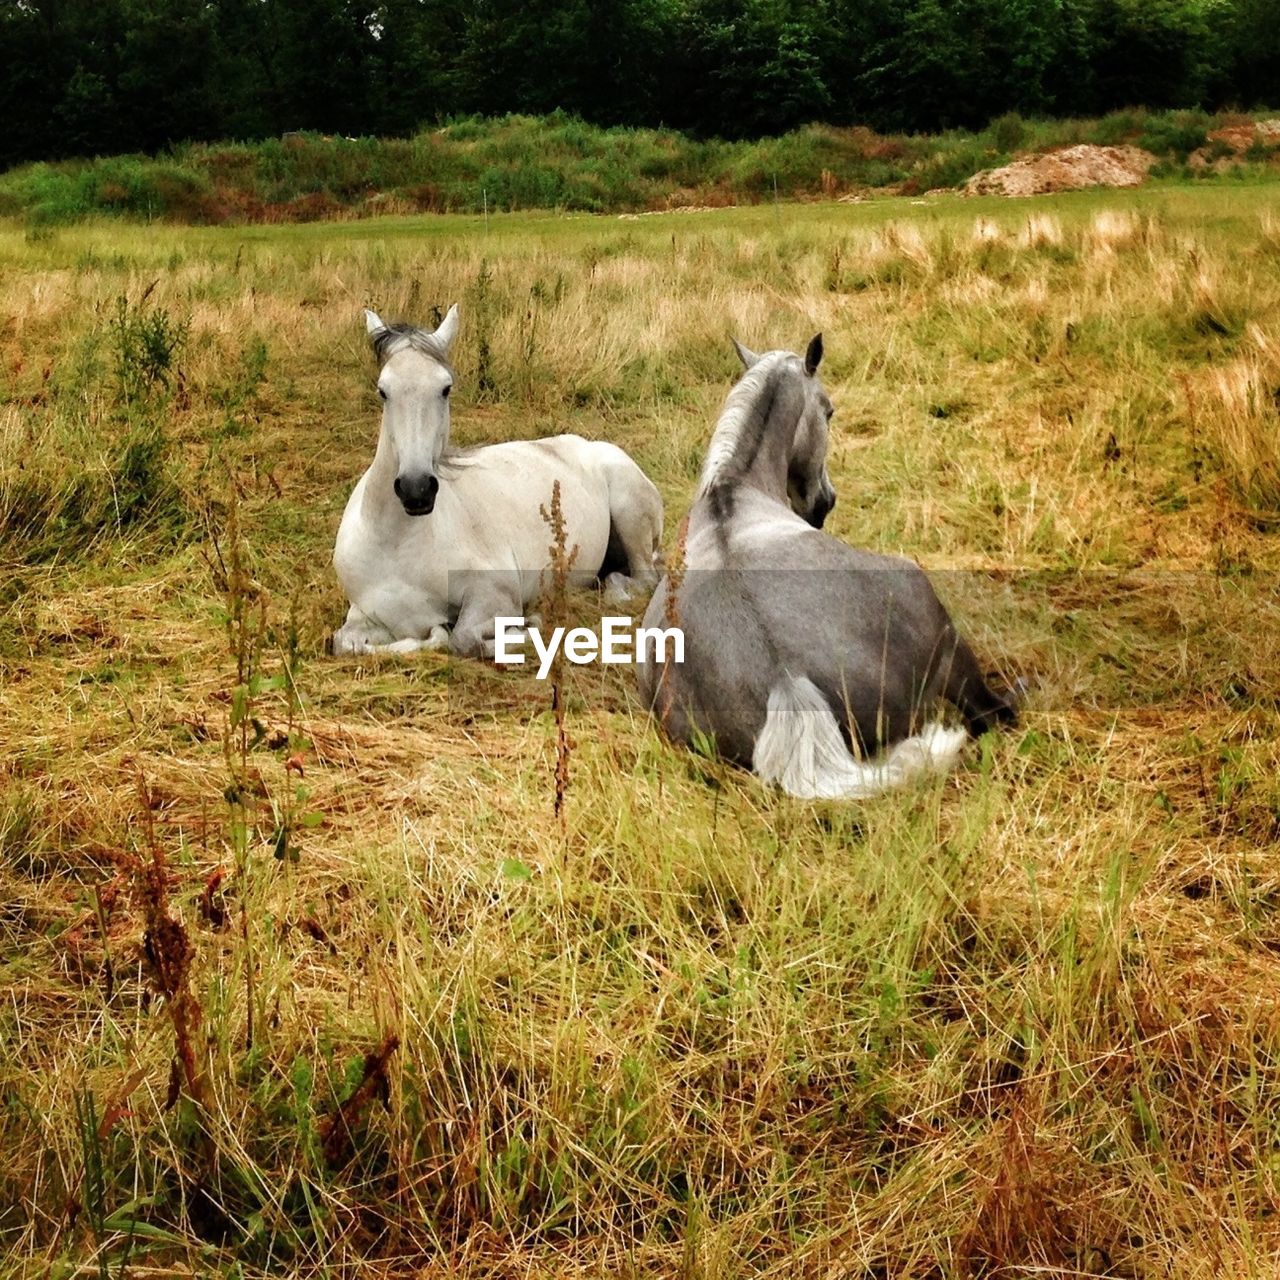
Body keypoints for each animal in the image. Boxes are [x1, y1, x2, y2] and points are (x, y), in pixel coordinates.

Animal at [330, 304, 665, 655]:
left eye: (445, 389)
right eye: (383, 391)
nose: (416, 489)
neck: (397, 544)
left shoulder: (495, 592)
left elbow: (463, 640)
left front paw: (527, 625)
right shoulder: (364, 615)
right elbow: (345, 642)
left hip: (630, 516)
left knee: (644, 578)